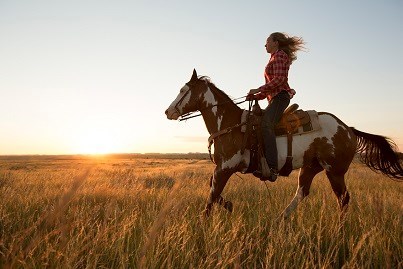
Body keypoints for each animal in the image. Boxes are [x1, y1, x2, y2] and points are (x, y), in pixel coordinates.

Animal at [165, 69, 403, 218]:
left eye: (183, 90)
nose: (168, 111)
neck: (230, 123)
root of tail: (348, 128)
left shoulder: (225, 167)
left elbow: (211, 197)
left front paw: (203, 223)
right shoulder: (222, 168)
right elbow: (212, 190)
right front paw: (230, 206)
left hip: (334, 171)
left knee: (343, 200)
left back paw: (339, 230)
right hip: (310, 167)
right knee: (302, 193)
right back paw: (281, 219)